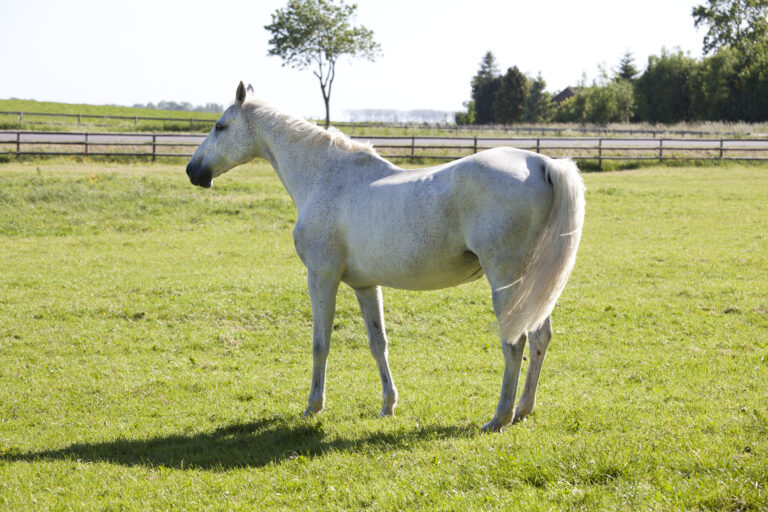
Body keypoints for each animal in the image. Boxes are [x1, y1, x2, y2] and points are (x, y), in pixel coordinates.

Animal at [186, 82, 585, 431]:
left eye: (220, 126)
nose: (193, 171)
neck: (326, 178)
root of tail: (540, 163)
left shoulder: (322, 277)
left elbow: (320, 344)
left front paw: (313, 406)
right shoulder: (365, 286)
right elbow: (378, 344)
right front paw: (388, 405)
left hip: (505, 278)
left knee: (514, 341)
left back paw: (499, 417)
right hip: (533, 283)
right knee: (539, 336)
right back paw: (523, 410)